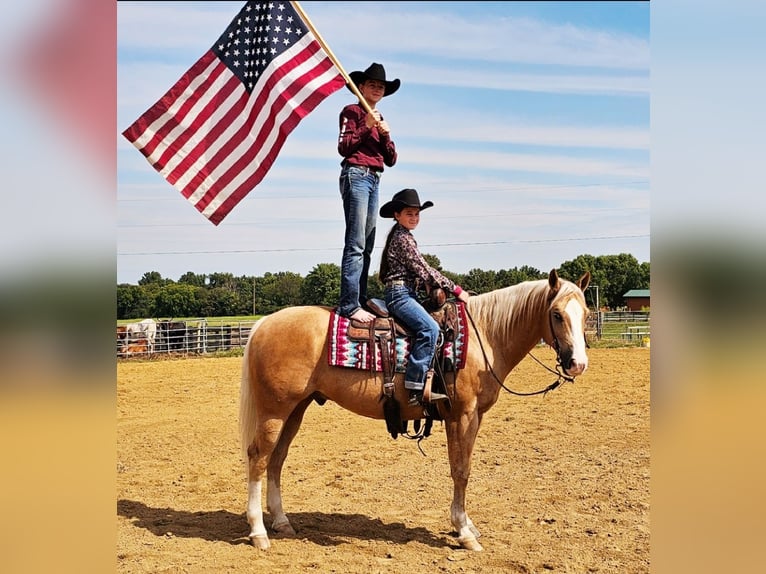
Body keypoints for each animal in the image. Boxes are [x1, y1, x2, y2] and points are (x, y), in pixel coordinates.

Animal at [243, 270, 592, 552]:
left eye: (586, 313)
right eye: (557, 314)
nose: (577, 363)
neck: (485, 337)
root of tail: (263, 324)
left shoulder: (473, 416)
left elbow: (463, 467)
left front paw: (467, 525)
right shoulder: (461, 415)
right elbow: (461, 470)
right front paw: (465, 532)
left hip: (295, 409)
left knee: (277, 459)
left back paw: (281, 521)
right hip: (274, 410)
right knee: (259, 457)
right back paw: (259, 532)